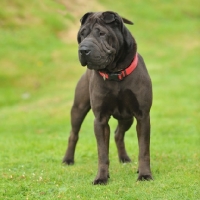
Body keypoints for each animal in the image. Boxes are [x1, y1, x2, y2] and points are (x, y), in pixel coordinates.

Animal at [63, 10, 153, 184]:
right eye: (82, 34)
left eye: (101, 33)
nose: (83, 49)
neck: (115, 74)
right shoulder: (100, 119)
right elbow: (102, 153)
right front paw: (101, 177)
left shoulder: (142, 116)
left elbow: (144, 150)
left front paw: (145, 174)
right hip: (78, 109)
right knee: (73, 134)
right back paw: (68, 159)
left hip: (127, 118)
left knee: (119, 134)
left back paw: (124, 158)